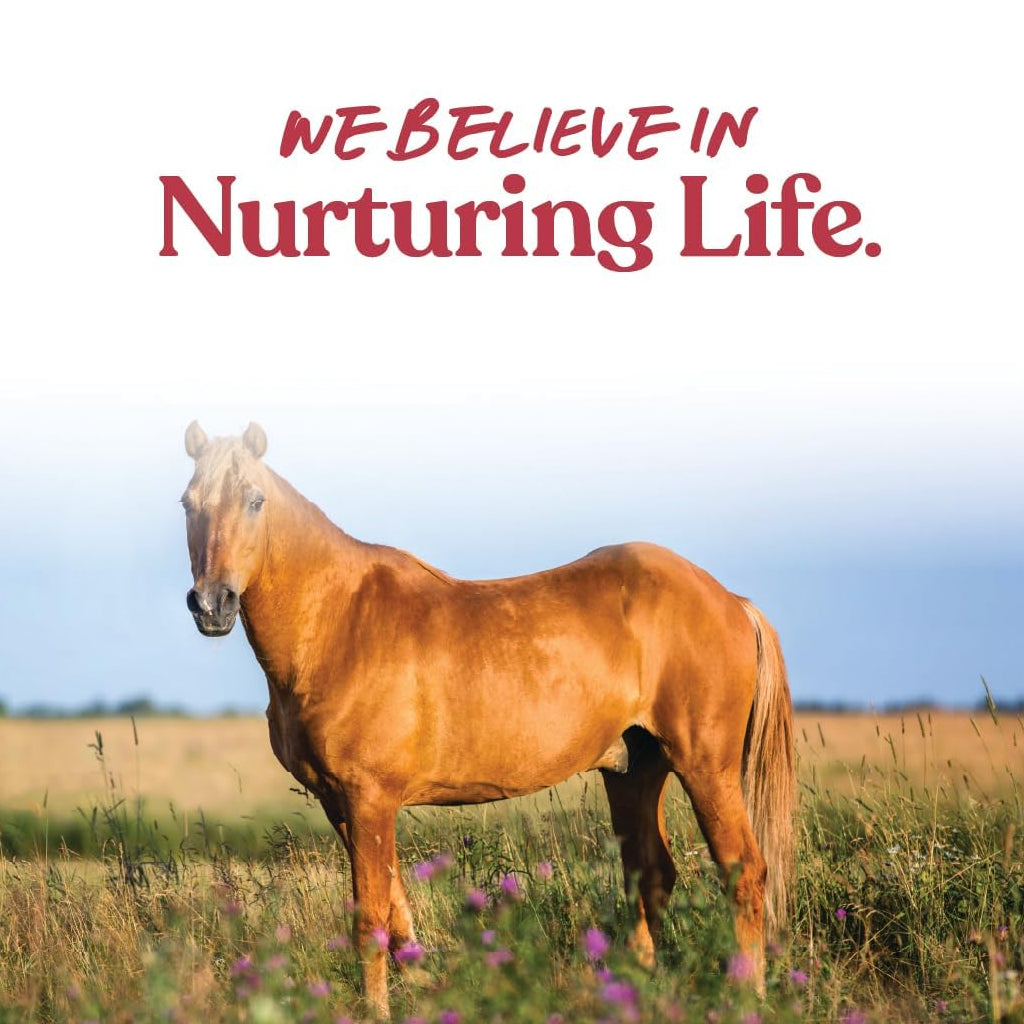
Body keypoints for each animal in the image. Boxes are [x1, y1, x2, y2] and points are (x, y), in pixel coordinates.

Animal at [181, 421, 795, 1018]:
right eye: (188, 503)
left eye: (255, 500)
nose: (212, 604)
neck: (338, 620)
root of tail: (730, 599)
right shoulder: (344, 805)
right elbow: (398, 917)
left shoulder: (370, 799)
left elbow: (371, 921)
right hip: (633, 772)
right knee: (650, 875)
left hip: (706, 769)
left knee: (744, 871)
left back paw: (747, 993)